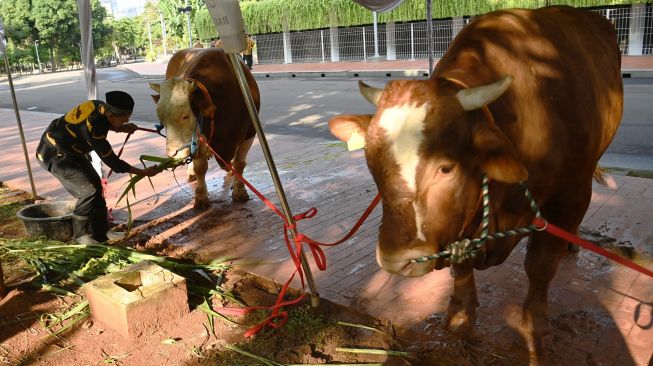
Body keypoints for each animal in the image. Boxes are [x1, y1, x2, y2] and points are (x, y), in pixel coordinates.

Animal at [150, 48, 260, 209]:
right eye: (162, 121)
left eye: (185, 116)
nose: (173, 154)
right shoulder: (199, 139)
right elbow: (200, 168)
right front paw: (201, 197)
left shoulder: (250, 132)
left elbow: (240, 163)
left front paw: (240, 191)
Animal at [332, 6, 620, 366]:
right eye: (371, 161)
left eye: (446, 167)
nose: (394, 260)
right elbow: (461, 263)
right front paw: (459, 314)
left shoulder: (571, 195)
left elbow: (540, 266)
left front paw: (537, 329)